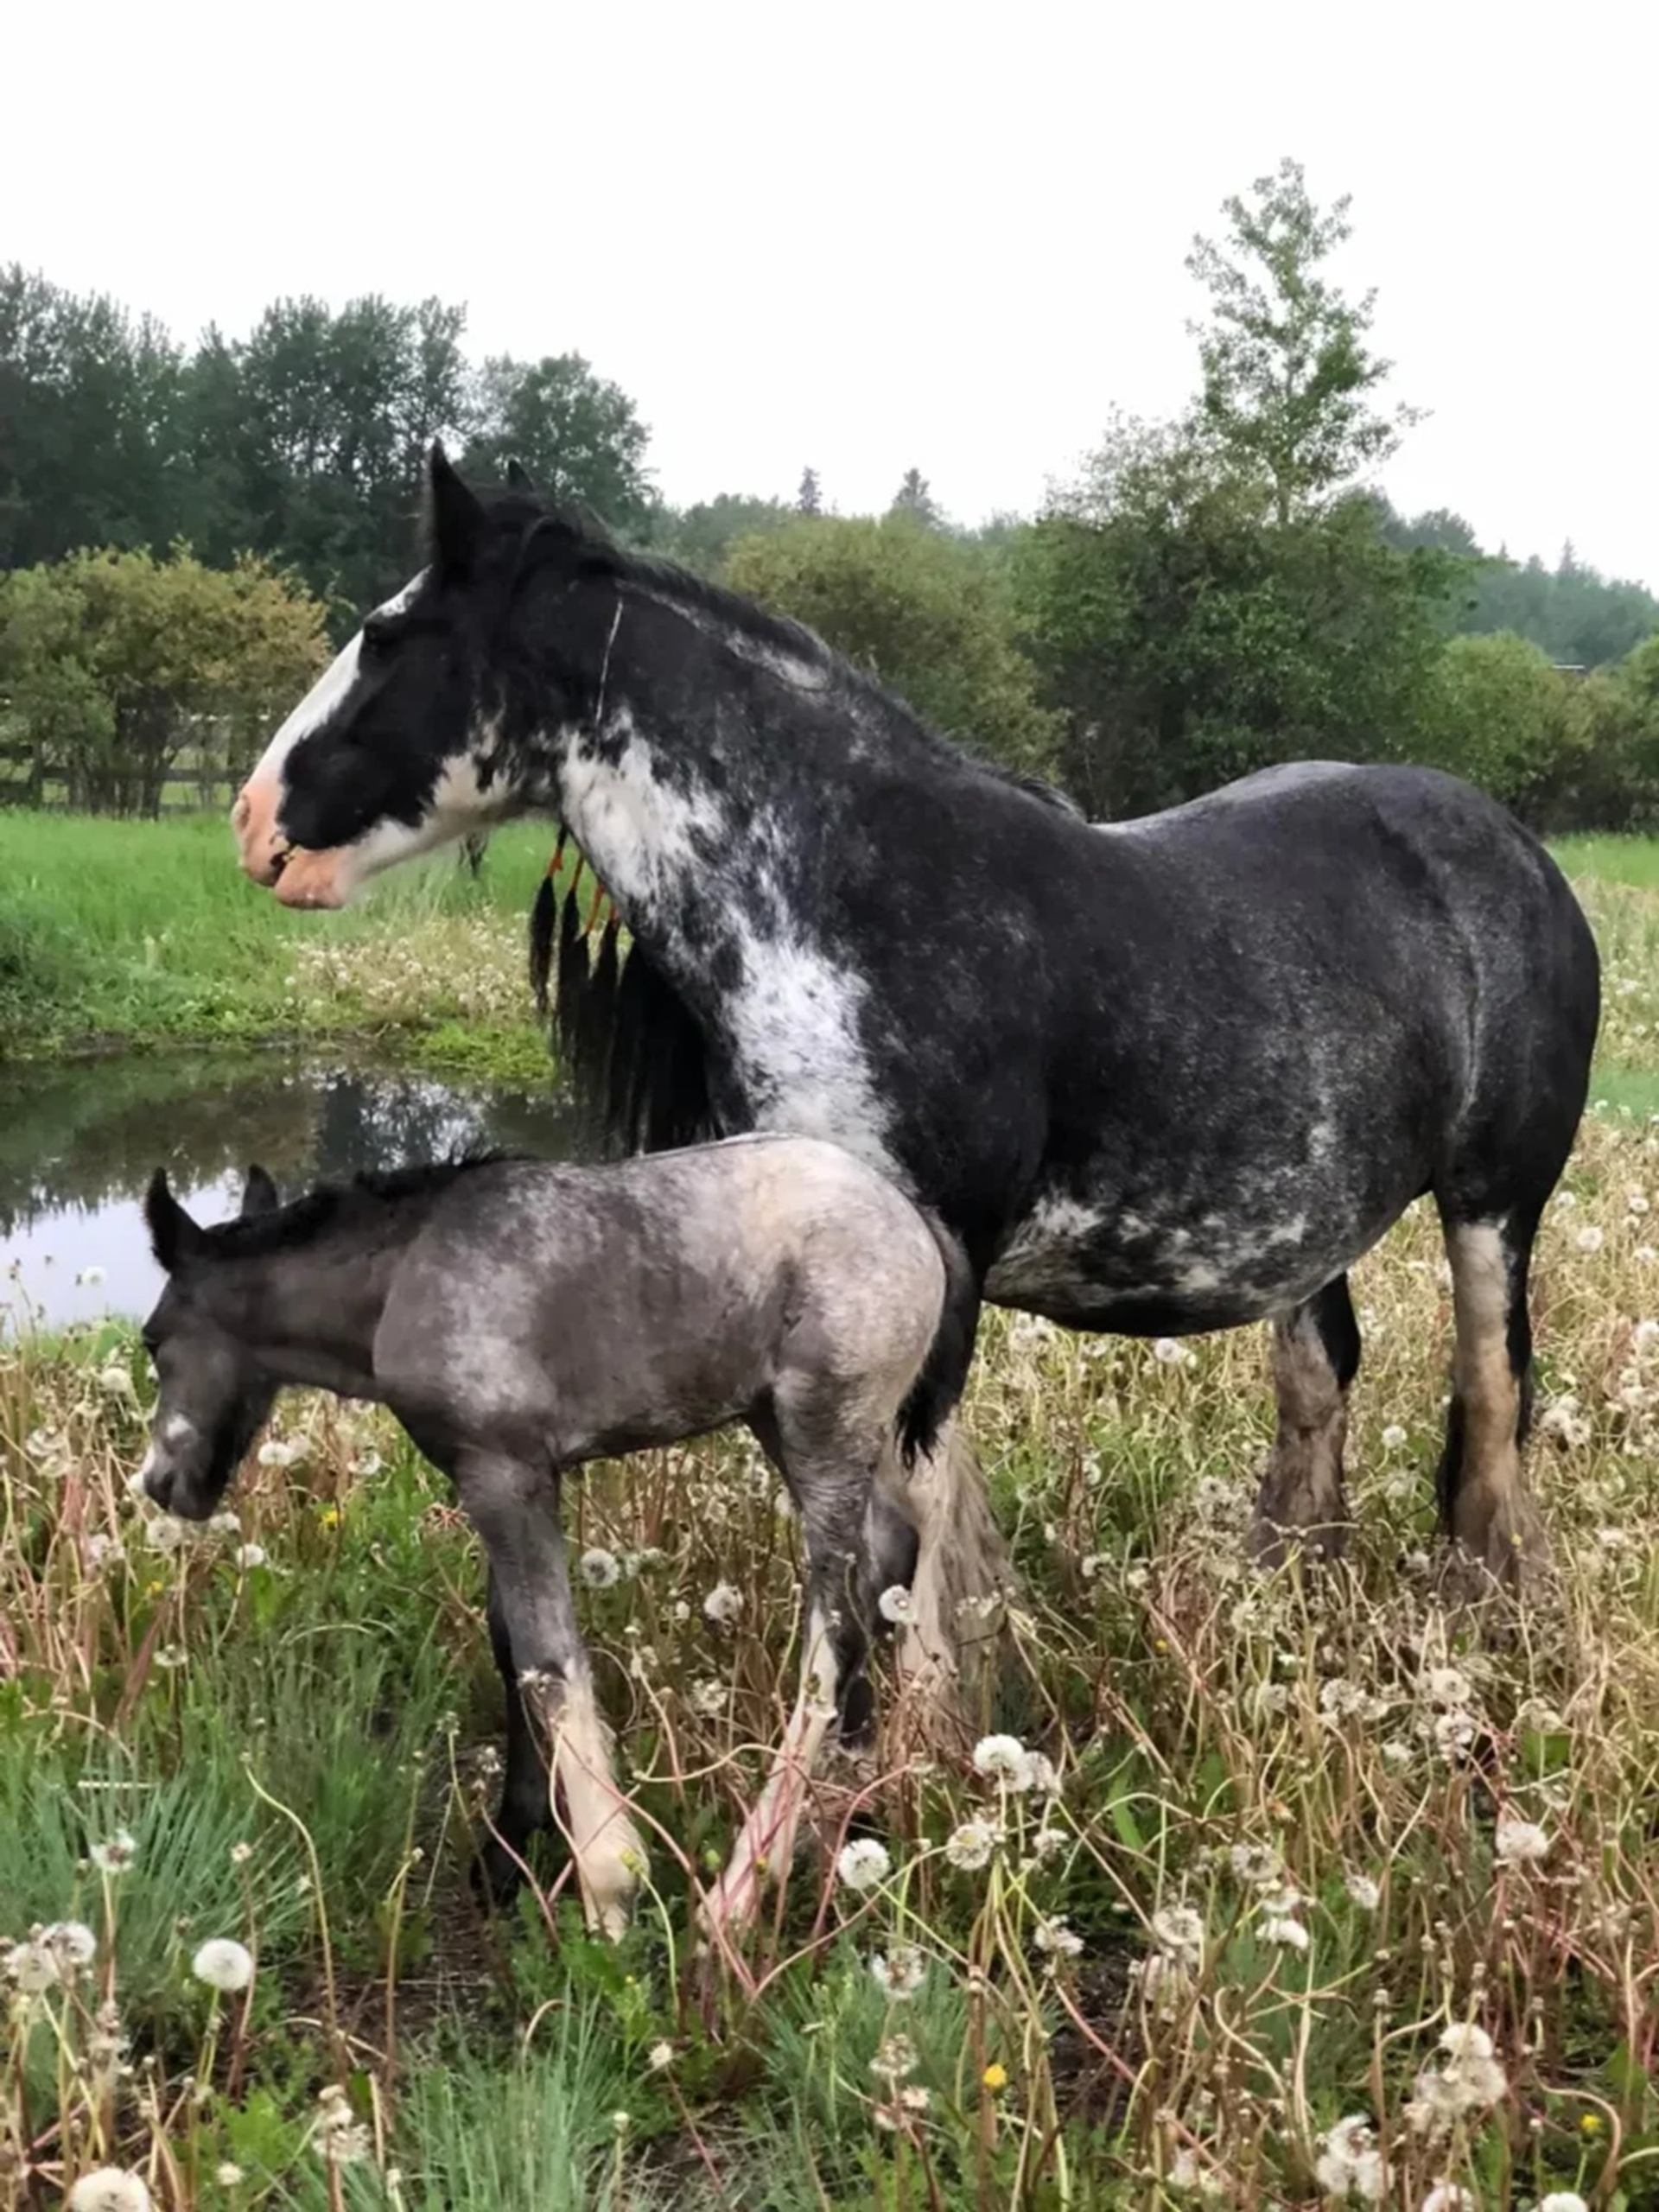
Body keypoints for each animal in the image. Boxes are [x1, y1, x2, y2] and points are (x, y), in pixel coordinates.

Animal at [134, 1136, 977, 1937]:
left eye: (151, 1338)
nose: (160, 1482)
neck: (408, 1272)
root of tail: (916, 1218)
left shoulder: (504, 1474)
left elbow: (548, 1662)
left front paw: (609, 1884)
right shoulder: (503, 1478)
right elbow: (510, 1642)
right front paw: (510, 1846)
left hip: (823, 1430)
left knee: (832, 1635)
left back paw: (739, 1894)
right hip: (786, 1427)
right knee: (886, 1567)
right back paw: (847, 1812)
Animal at [231, 443, 1601, 1669]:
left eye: (386, 636)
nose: (253, 825)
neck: (854, 900)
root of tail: (1515, 851)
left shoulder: (938, 1268)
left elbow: (909, 1542)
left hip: (1494, 1206)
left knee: (1492, 1404)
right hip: (1304, 1229)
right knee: (1319, 1386)